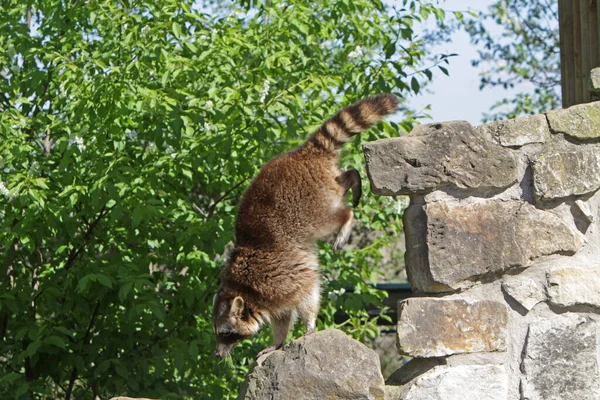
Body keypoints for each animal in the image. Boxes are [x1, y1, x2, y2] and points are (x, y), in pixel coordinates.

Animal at [211, 94, 398, 360]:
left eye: (227, 333)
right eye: (218, 332)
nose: (217, 355)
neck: (244, 290)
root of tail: (303, 153)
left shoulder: (281, 281)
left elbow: (307, 293)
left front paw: (309, 325)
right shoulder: (272, 294)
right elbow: (282, 316)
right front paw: (278, 342)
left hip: (307, 205)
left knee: (332, 217)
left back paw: (346, 218)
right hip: (321, 184)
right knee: (341, 181)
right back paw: (352, 178)